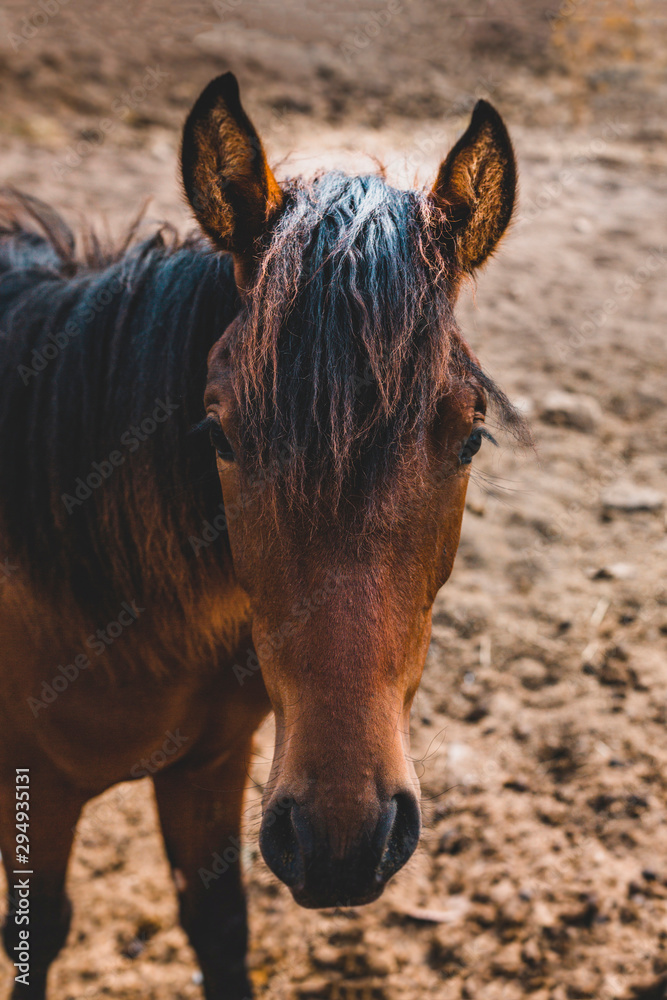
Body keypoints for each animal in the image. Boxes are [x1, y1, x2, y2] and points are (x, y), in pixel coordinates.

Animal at [0, 72, 527, 1000]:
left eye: (469, 437)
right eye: (218, 434)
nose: (342, 842)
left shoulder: (210, 765)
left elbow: (218, 926)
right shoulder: (32, 790)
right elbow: (37, 933)